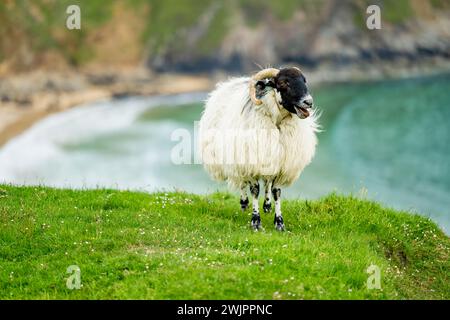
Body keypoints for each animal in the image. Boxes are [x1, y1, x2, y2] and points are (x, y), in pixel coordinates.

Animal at [199, 67, 318, 231]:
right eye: (283, 83)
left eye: (304, 80)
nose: (308, 102)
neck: (276, 121)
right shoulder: (250, 162)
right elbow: (254, 190)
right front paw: (255, 221)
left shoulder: (281, 164)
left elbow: (276, 191)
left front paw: (279, 222)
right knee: (242, 182)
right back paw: (244, 203)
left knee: (267, 182)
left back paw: (267, 205)